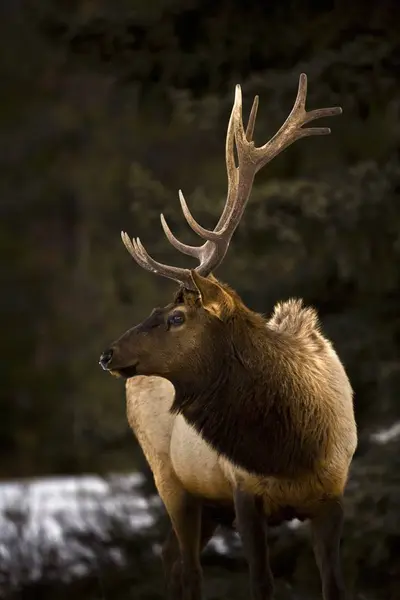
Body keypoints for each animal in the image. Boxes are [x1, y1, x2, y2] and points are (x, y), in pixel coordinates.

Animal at [100, 75, 356, 600]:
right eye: (156, 310)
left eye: (177, 317)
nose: (108, 353)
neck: (292, 452)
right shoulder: (242, 493)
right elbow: (261, 584)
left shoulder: (332, 494)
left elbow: (334, 586)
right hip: (172, 480)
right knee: (187, 566)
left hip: (206, 505)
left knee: (171, 556)